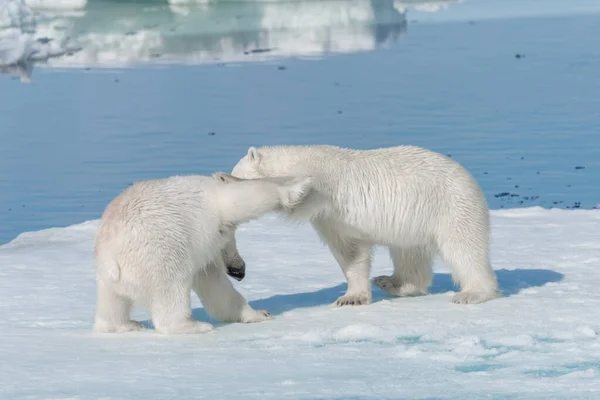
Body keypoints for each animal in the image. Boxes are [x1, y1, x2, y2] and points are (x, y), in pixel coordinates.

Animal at [94, 173, 314, 334]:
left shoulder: (205, 255)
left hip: (109, 277)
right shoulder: (216, 210)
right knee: (170, 288)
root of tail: (111, 259)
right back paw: (193, 325)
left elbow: (216, 287)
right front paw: (300, 186)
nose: (239, 271)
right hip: (159, 252)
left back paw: (124, 325)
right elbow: (250, 196)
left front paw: (260, 314)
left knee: (112, 301)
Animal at [232, 145, 500, 304]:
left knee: (464, 249)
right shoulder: (331, 217)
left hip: (450, 207)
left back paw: (472, 293)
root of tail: (469, 178)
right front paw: (352, 297)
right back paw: (392, 282)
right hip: (412, 222)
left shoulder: (324, 188)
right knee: (409, 254)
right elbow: (351, 251)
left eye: (235, 176)